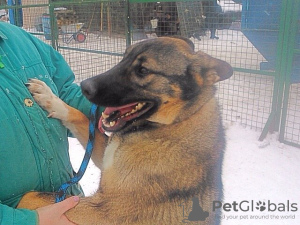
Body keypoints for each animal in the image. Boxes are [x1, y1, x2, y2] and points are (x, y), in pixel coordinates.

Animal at [18, 36, 233, 224]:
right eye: (124, 58)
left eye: (143, 70)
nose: (84, 87)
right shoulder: (105, 159)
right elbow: (79, 116)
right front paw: (50, 98)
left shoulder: (107, 211)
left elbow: (30, 196)